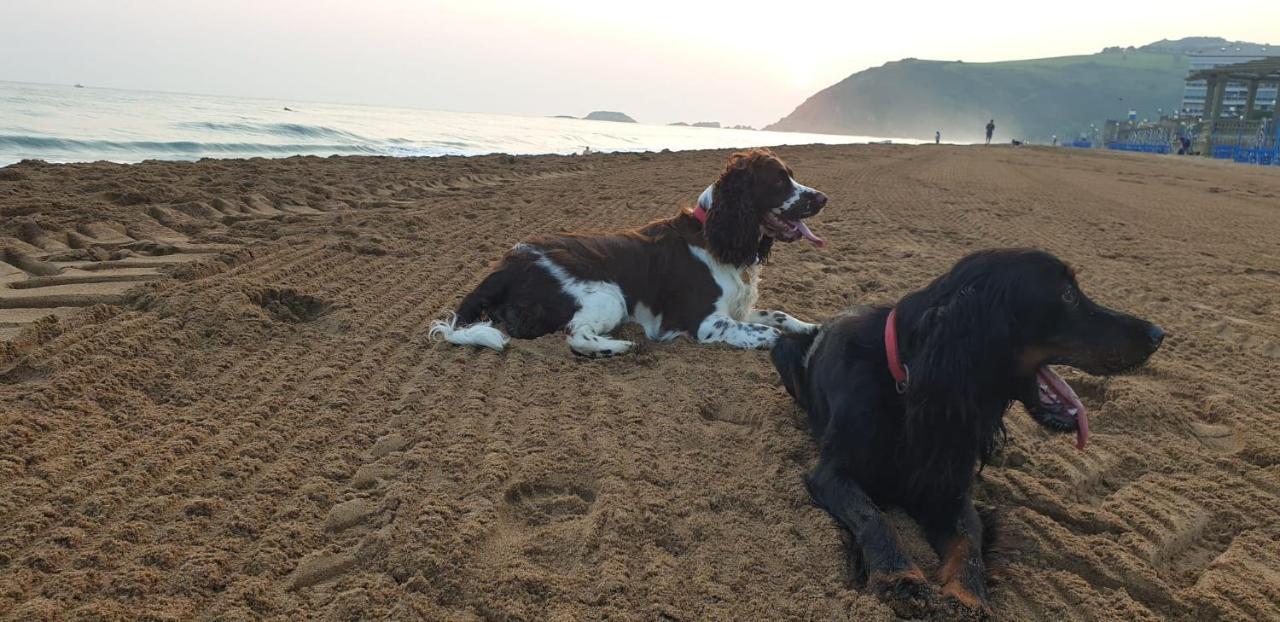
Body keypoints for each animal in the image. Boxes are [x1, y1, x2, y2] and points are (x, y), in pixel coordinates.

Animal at [430, 147, 829, 358]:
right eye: (778, 180)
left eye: (791, 175)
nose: (824, 198)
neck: (714, 235)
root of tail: (505, 266)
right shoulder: (706, 323)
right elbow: (771, 334)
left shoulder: (738, 309)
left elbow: (779, 315)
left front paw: (813, 327)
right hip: (609, 294)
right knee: (576, 334)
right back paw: (618, 346)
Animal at [773, 250, 1167, 614]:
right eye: (1068, 296)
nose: (1158, 334)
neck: (909, 389)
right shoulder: (832, 473)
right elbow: (875, 517)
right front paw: (900, 577)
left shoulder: (948, 488)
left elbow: (969, 540)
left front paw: (969, 597)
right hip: (784, 346)